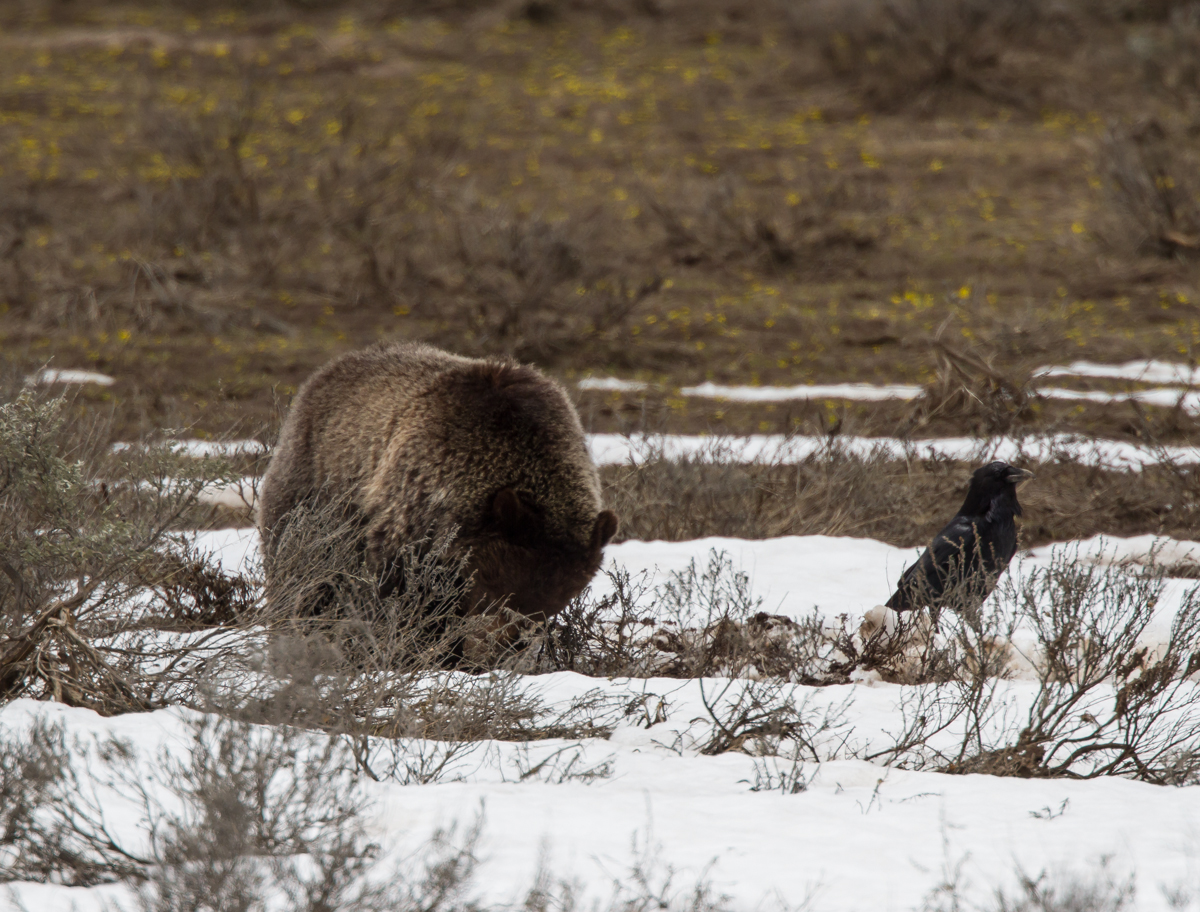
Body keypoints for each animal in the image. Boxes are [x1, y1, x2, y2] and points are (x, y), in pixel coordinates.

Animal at [257, 341, 618, 627]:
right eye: (499, 594)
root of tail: (326, 371)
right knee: (301, 571)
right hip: (314, 489)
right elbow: (395, 589)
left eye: (545, 610)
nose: (501, 644)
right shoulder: (413, 511)